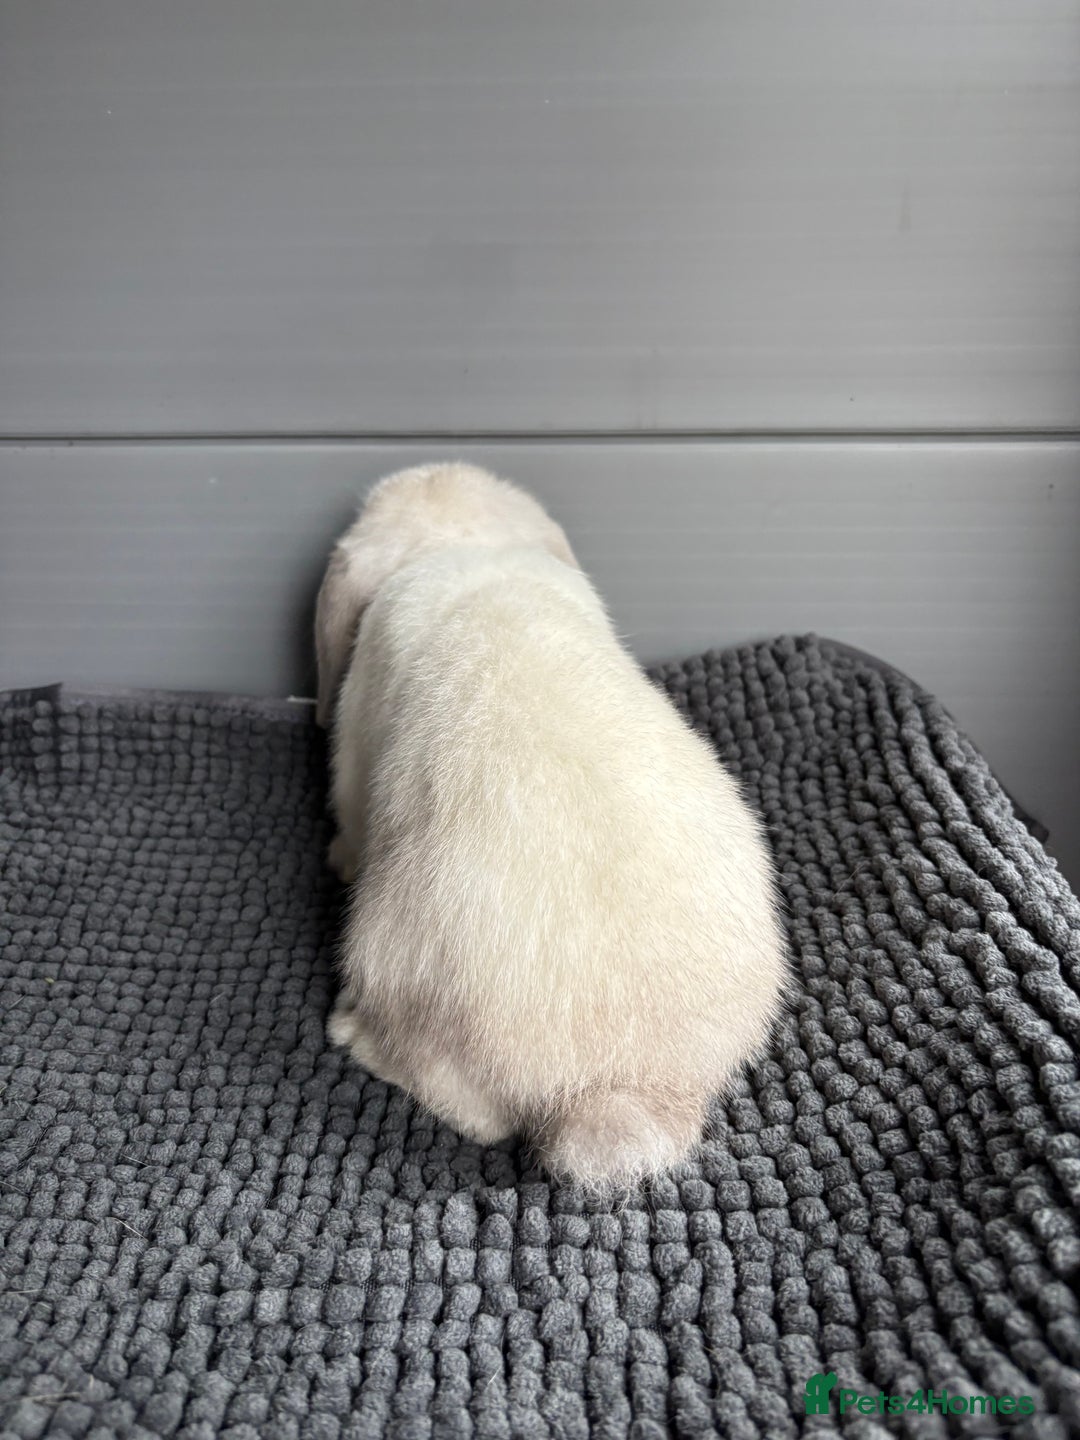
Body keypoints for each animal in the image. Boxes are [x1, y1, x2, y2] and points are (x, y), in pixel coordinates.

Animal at [315, 461, 787, 1192]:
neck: (469, 548)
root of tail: (621, 1088)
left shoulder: (355, 751)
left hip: (390, 961)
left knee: (468, 1109)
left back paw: (350, 1033)